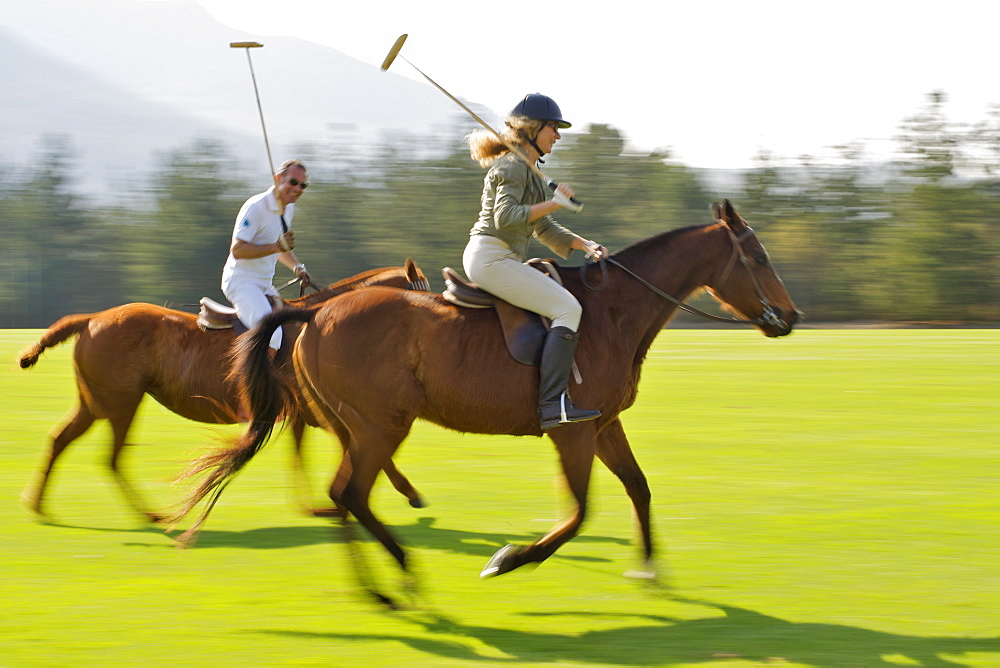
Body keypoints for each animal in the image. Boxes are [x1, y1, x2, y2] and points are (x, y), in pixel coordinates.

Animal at [16, 258, 430, 524]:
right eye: (425, 294)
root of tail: (91, 319)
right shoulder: (320, 411)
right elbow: (364, 448)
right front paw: (408, 492)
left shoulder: (305, 414)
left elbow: (307, 453)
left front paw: (319, 506)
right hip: (121, 403)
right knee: (111, 458)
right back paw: (149, 513)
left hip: (94, 403)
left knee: (59, 439)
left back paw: (38, 505)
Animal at [170, 200, 796, 600]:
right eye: (760, 258)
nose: (790, 317)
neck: (614, 312)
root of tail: (315, 313)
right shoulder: (572, 430)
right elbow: (578, 514)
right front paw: (507, 559)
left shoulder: (602, 425)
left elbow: (638, 488)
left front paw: (648, 571)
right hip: (379, 427)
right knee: (349, 493)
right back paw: (400, 575)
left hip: (355, 429)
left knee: (343, 496)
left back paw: (380, 589)